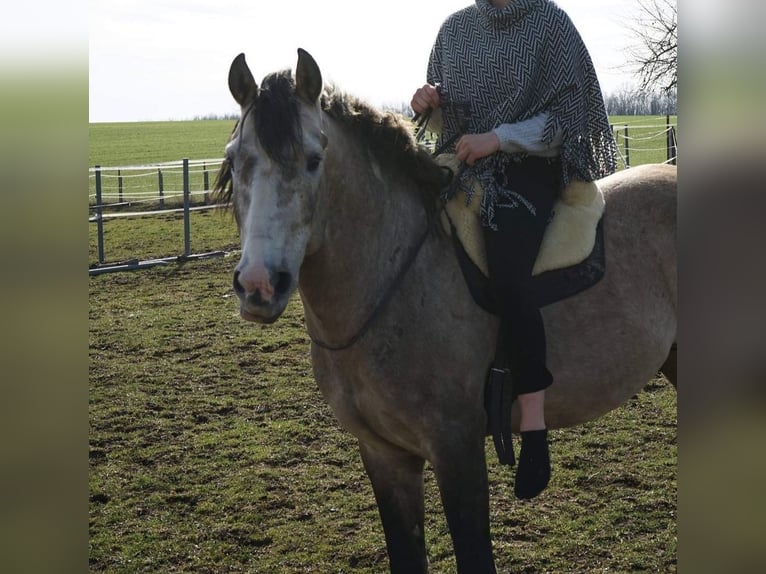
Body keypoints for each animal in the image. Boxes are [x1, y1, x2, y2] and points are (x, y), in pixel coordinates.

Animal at [216, 49, 680, 574]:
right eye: (234, 160)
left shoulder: (456, 450)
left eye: (315, 160)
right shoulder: (385, 456)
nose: (258, 285)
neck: (396, 277)